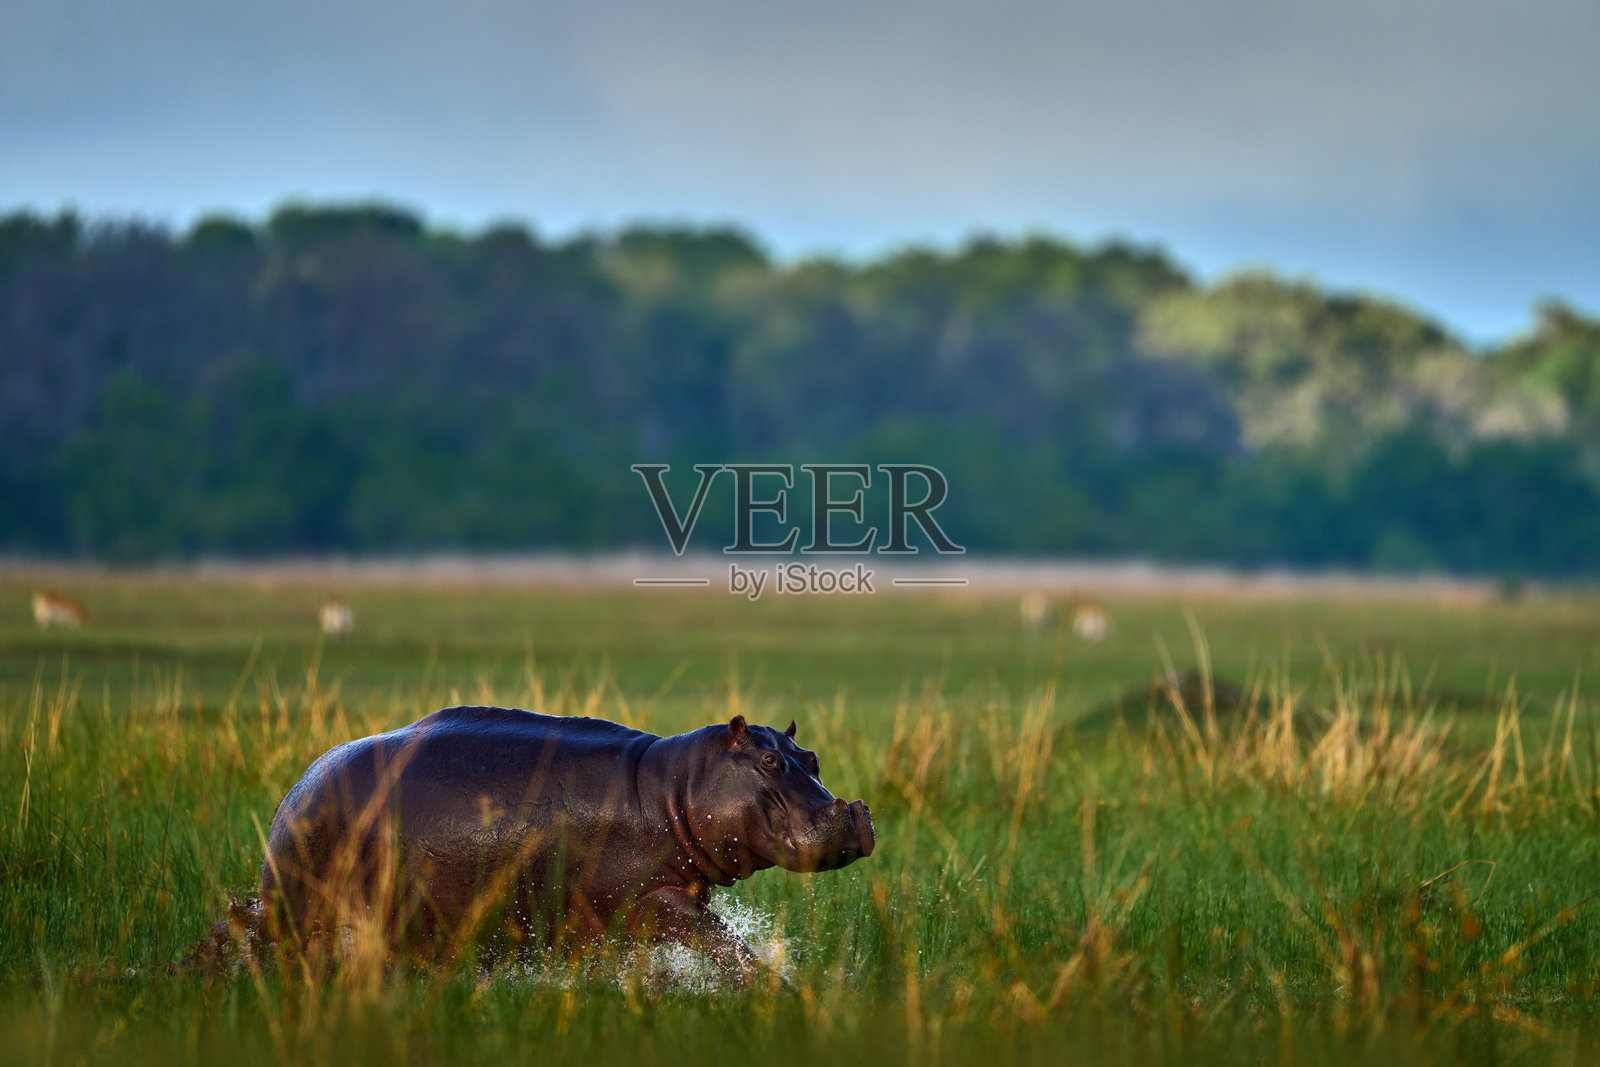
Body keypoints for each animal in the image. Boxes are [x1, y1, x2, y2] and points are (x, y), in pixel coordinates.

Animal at [255, 707, 875, 976]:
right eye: (769, 761)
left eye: (811, 758)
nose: (851, 813)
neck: (676, 789)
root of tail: (296, 791)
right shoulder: (652, 901)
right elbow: (728, 947)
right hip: (301, 908)